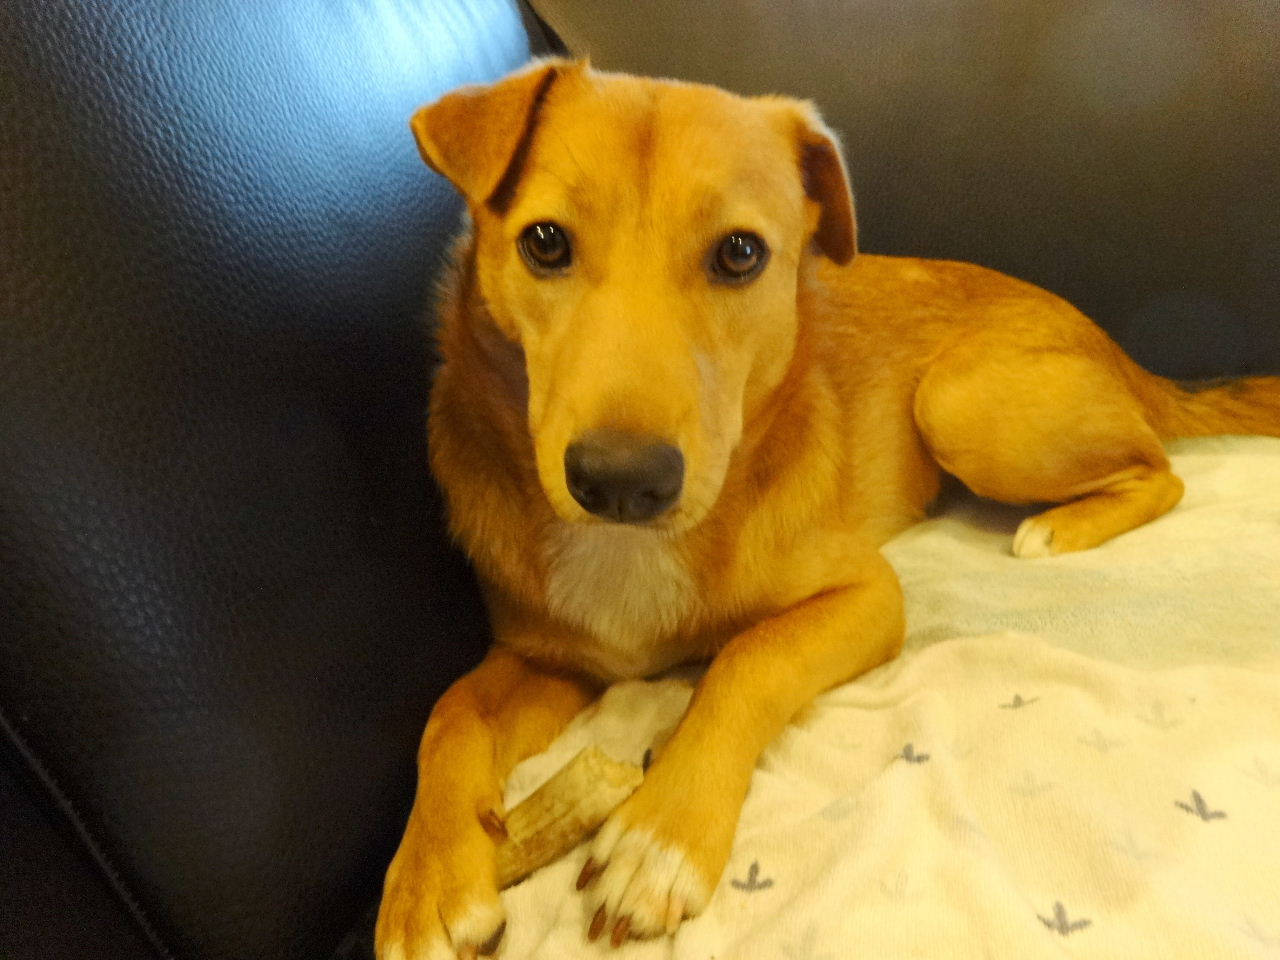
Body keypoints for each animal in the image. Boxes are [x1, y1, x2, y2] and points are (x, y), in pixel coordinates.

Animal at [375, 58, 1280, 959]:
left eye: (740, 253)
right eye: (544, 242)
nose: (620, 482)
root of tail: (1120, 351)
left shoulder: (867, 596)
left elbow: (748, 660)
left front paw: (660, 837)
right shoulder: (548, 654)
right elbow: (448, 713)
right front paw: (428, 881)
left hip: (959, 403)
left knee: (1164, 470)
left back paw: (1060, 527)